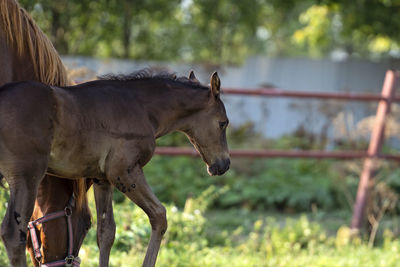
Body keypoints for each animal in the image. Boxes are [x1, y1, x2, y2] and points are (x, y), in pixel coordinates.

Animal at [0, 68, 230, 266]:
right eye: (223, 123)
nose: (224, 165)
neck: (143, 108)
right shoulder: (124, 171)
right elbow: (159, 215)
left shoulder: (102, 179)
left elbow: (106, 232)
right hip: (27, 176)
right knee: (12, 233)